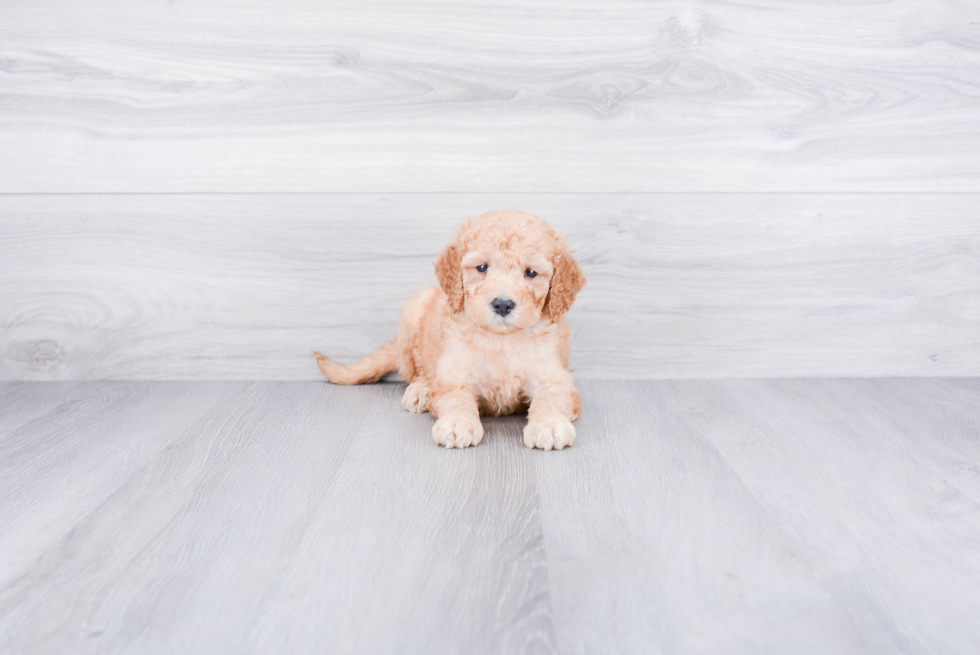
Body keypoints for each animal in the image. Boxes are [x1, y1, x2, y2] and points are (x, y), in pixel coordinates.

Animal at [318, 210, 584, 452]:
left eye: (530, 272)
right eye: (482, 267)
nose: (502, 304)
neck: (500, 339)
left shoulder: (554, 377)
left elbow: (551, 398)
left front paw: (549, 425)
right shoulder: (455, 376)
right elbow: (456, 399)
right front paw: (457, 424)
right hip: (415, 308)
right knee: (417, 372)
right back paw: (421, 391)